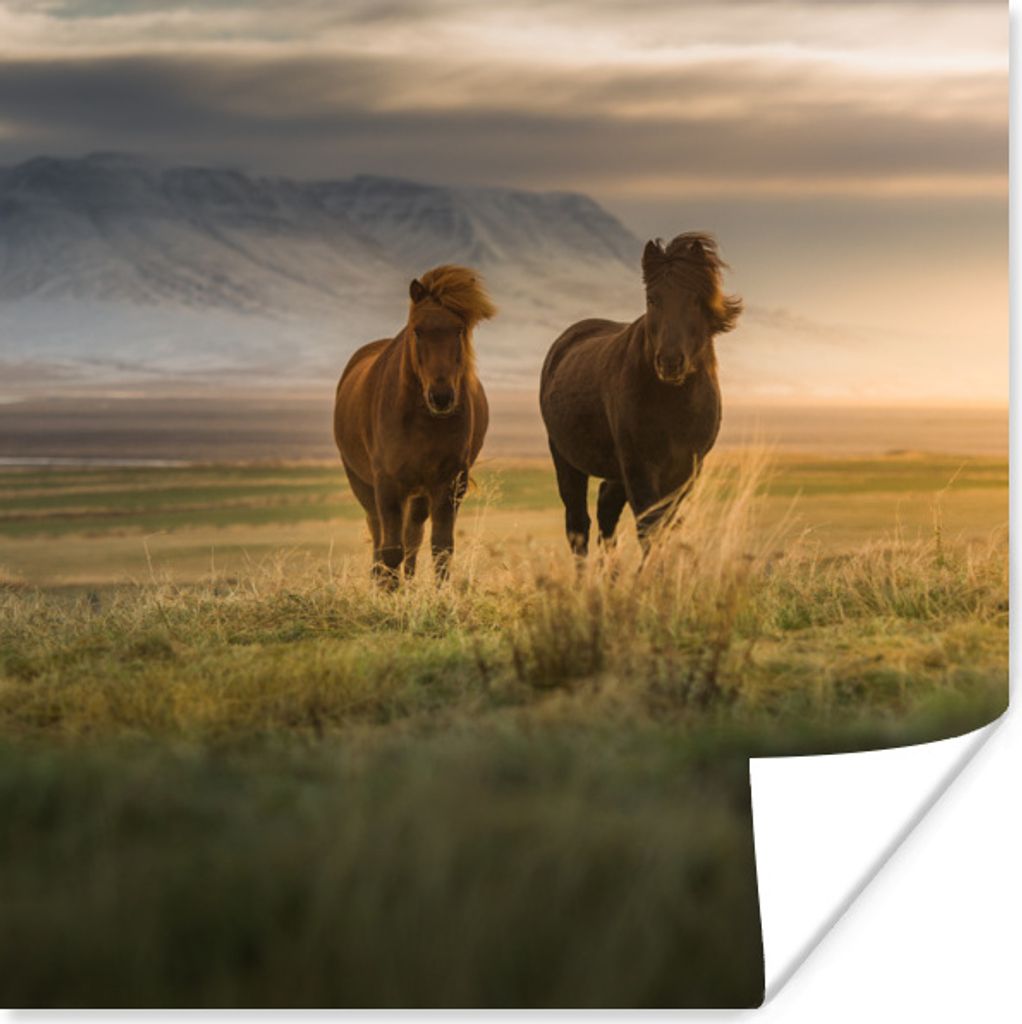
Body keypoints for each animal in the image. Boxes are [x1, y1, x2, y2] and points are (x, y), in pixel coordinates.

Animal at [334, 264, 496, 584]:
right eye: (417, 331)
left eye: (459, 329)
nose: (442, 397)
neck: (422, 422)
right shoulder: (386, 484)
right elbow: (390, 550)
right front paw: (388, 592)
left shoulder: (448, 483)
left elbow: (440, 549)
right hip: (363, 484)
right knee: (379, 535)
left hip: (420, 493)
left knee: (413, 537)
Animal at [539, 232, 742, 557]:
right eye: (652, 299)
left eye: (696, 299)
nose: (670, 362)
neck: (674, 402)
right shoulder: (640, 467)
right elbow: (649, 528)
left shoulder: (686, 471)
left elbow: (664, 527)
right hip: (566, 459)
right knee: (578, 526)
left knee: (606, 512)